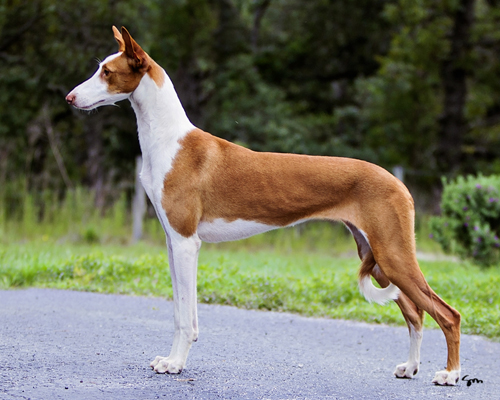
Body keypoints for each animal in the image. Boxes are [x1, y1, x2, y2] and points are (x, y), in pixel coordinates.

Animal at [66, 26, 461, 385]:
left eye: (107, 72)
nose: (69, 98)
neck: (168, 140)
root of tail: (399, 182)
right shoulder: (172, 242)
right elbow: (179, 310)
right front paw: (172, 359)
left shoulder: (186, 243)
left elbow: (185, 317)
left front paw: (175, 364)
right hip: (377, 257)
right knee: (415, 313)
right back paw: (410, 367)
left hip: (393, 254)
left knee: (446, 313)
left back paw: (451, 374)